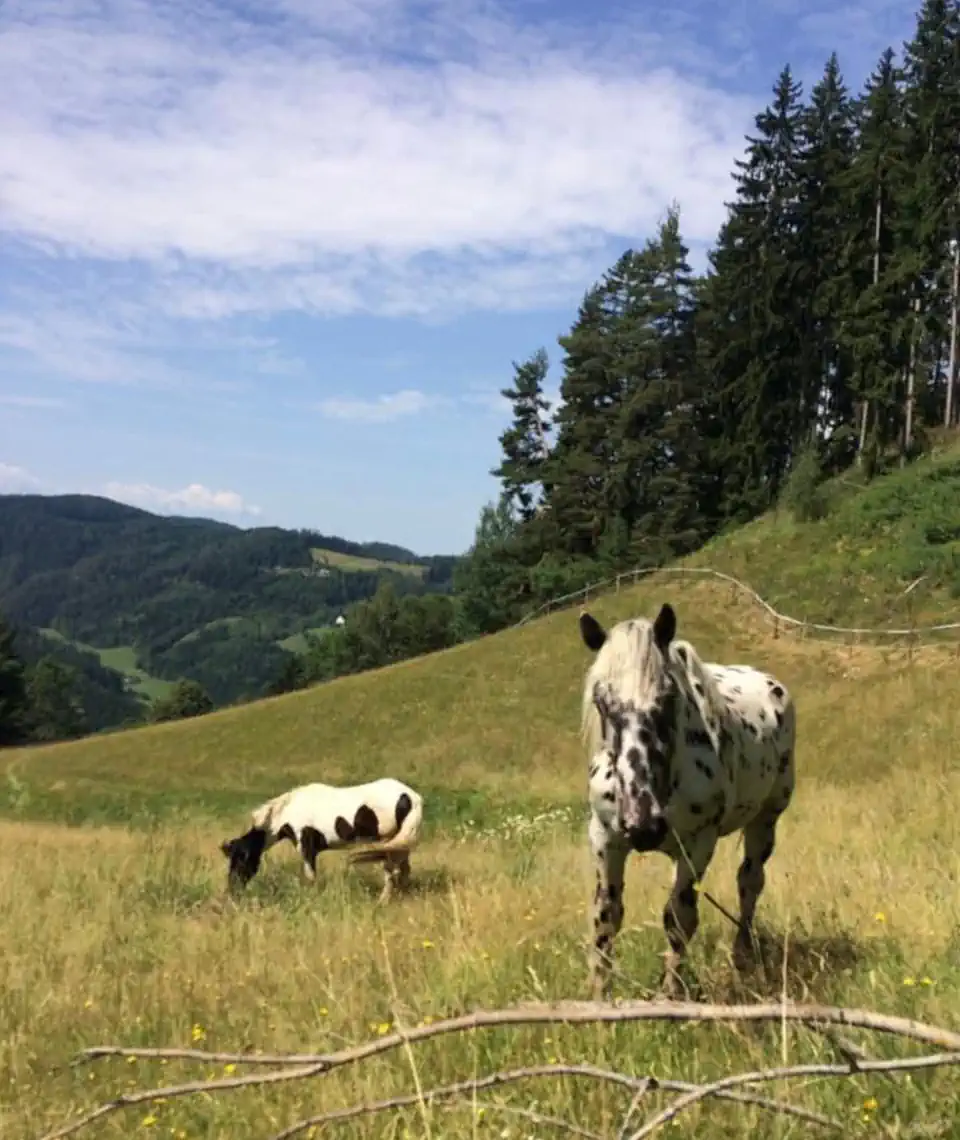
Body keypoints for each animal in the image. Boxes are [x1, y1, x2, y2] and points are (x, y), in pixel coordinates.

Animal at [219, 777, 424, 903]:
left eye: (241, 861)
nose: (233, 892)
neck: (290, 810)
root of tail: (412, 797)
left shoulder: (306, 847)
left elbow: (311, 877)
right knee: (403, 870)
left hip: (389, 842)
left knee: (392, 872)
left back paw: (383, 900)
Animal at [578, 603, 796, 999]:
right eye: (602, 701)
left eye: (668, 697)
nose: (643, 827)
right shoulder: (605, 837)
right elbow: (606, 917)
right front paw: (598, 998)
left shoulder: (698, 844)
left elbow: (679, 918)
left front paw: (670, 996)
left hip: (766, 819)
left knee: (750, 882)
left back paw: (742, 957)